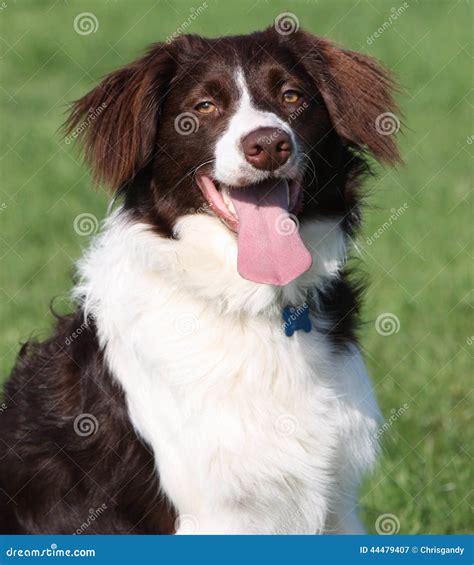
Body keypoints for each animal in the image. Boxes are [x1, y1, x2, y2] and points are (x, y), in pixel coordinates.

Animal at [0, 26, 400, 532]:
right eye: (204, 107)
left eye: (292, 96)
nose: (269, 144)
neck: (253, 303)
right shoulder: (213, 513)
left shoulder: (336, 502)